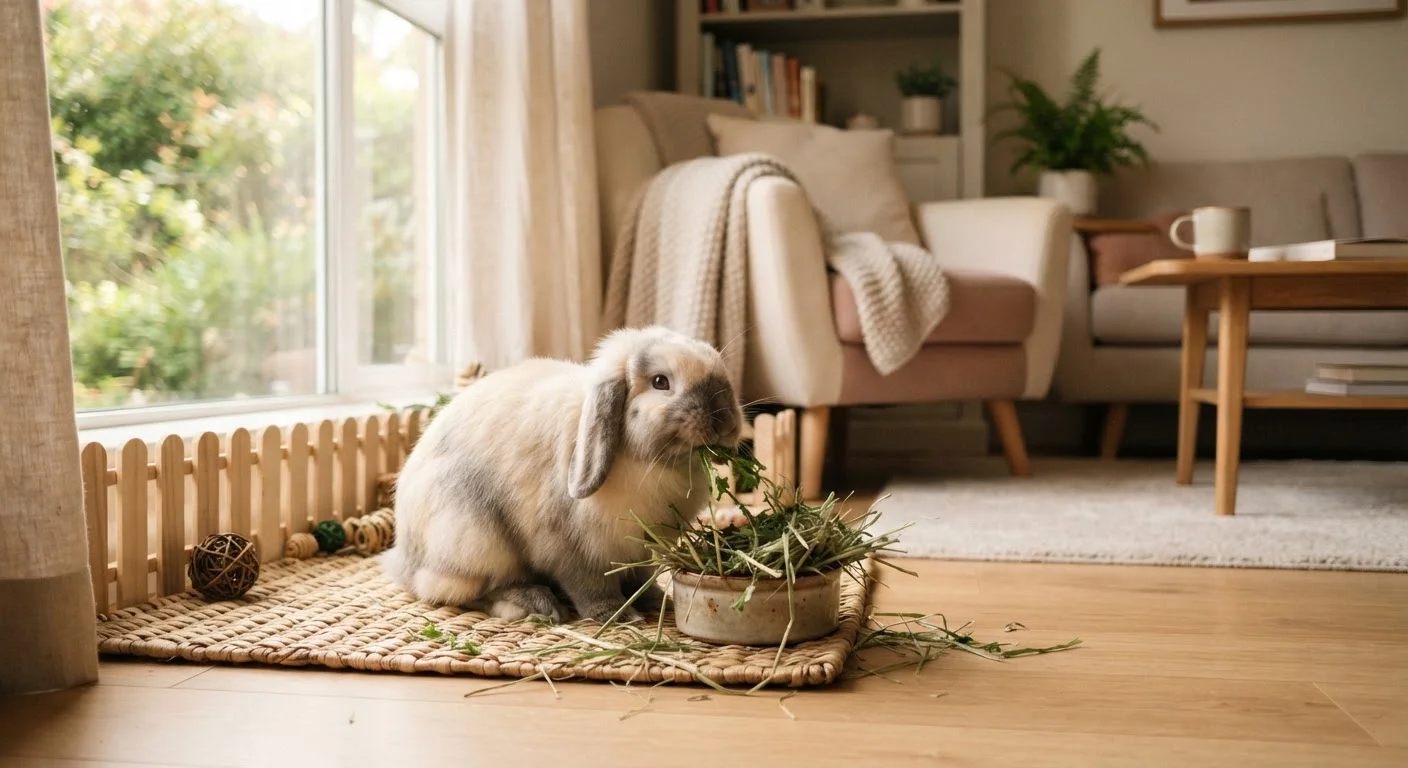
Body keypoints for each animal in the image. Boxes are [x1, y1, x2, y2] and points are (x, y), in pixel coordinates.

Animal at [383, 326, 744, 624]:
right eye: (660, 382)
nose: (723, 420)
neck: (645, 460)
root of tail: (404, 560)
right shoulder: (572, 548)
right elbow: (590, 586)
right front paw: (617, 616)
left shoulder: (640, 551)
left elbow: (642, 578)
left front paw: (657, 601)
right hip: (475, 539)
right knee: (459, 590)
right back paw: (533, 603)